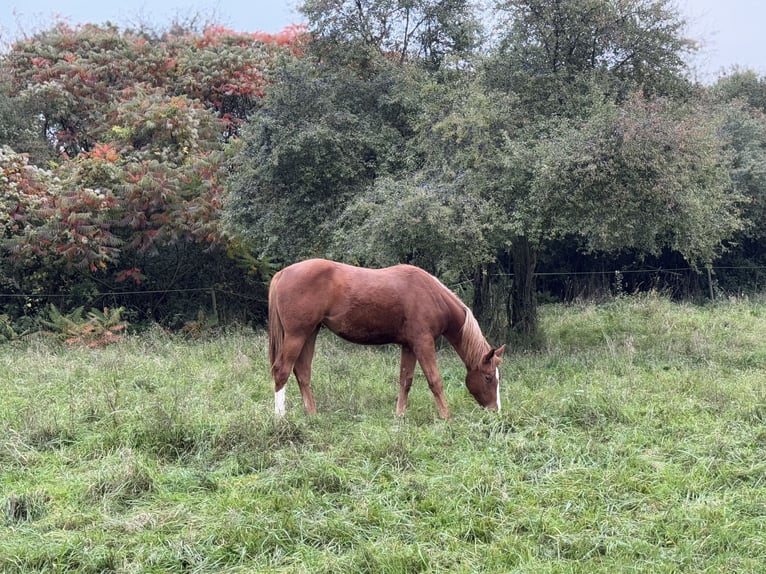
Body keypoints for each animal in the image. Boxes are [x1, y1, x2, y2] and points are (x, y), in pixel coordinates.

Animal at [268, 259, 506, 419]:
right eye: (488, 378)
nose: (496, 411)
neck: (432, 296)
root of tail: (283, 273)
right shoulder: (423, 343)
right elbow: (434, 380)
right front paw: (446, 417)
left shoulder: (409, 346)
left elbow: (405, 381)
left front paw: (399, 416)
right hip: (296, 335)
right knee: (281, 370)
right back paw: (280, 419)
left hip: (310, 333)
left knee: (302, 373)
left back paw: (312, 415)